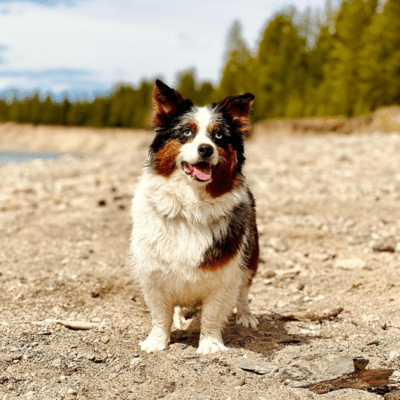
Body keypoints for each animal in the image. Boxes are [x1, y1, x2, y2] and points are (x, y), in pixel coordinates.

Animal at [129, 80, 260, 354]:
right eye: (187, 133)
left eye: (218, 136)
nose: (205, 149)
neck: (190, 206)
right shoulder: (154, 273)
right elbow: (160, 314)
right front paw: (156, 342)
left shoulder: (226, 273)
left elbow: (212, 313)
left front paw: (210, 345)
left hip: (251, 255)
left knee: (244, 291)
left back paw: (246, 316)